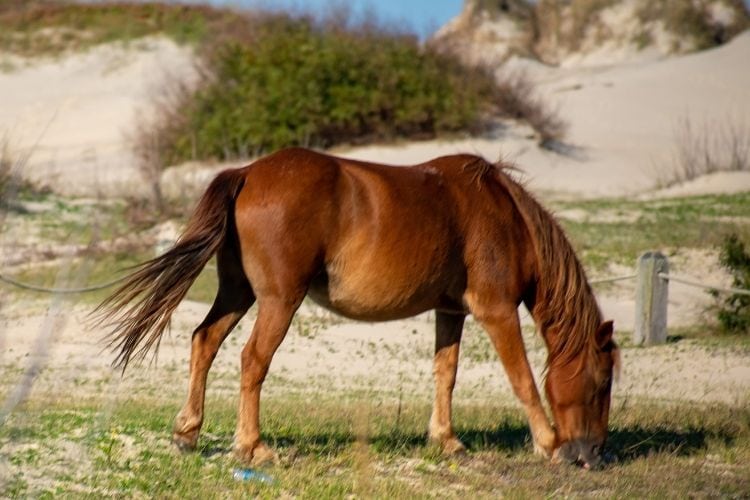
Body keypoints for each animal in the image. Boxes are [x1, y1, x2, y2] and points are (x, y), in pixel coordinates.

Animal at [97, 147, 620, 468]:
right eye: (601, 382)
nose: (594, 452)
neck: (502, 215)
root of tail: (247, 173)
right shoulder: (496, 312)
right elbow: (523, 379)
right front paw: (549, 444)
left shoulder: (450, 313)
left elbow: (445, 374)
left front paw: (446, 439)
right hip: (277, 301)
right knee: (252, 361)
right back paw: (253, 446)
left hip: (238, 293)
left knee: (204, 341)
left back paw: (187, 432)